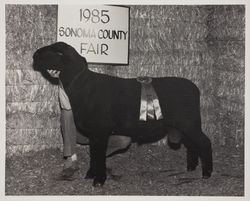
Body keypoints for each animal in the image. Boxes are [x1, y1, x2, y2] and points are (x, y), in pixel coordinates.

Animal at [32, 42, 213, 187]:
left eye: (56, 51)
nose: (34, 54)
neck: (82, 85)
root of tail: (195, 88)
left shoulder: (100, 131)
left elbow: (98, 155)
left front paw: (98, 181)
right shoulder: (94, 133)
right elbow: (94, 155)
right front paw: (90, 174)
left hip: (190, 123)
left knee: (204, 142)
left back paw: (206, 173)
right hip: (183, 125)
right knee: (192, 145)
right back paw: (191, 167)